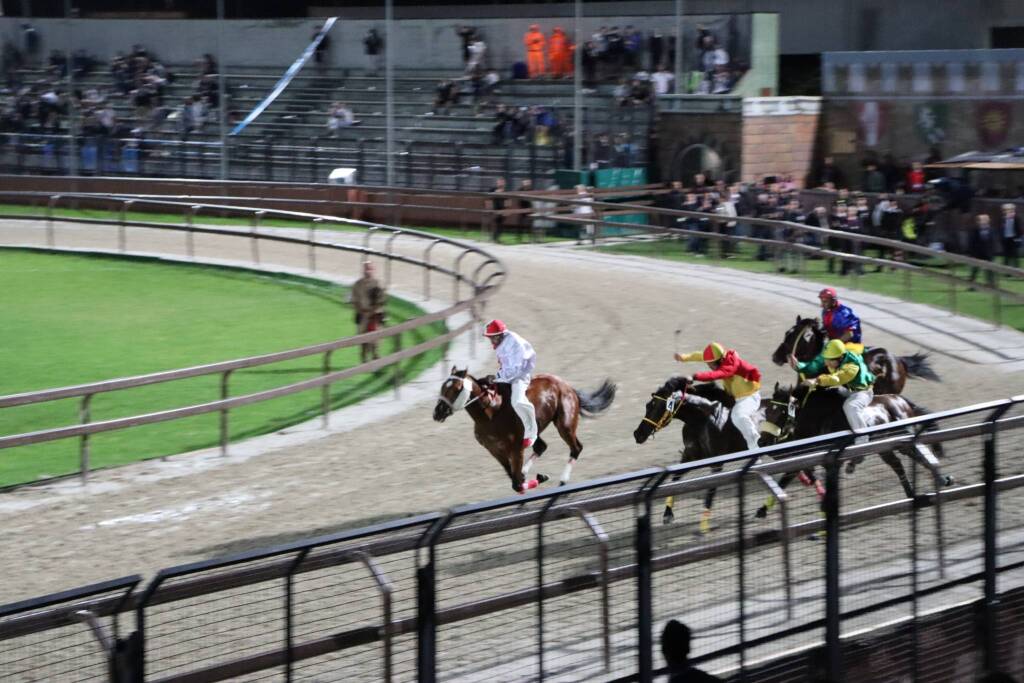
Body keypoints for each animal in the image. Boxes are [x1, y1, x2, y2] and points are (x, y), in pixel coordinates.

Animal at [432, 366, 614, 493]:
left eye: (456, 389)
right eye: (442, 387)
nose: (437, 412)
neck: (490, 414)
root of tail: (566, 385)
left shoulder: (515, 447)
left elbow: (517, 484)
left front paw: (540, 477)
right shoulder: (495, 450)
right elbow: (514, 477)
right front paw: (534, 476)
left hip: (565, 424)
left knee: (576, 448)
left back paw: (562, 480)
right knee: (541, 447)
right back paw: (528, 471)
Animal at [630, 376, 761, 532]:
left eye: (657, 406)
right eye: (647, 405)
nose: (638, 434)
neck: (703, 420)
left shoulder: (717, 462)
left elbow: (711, 489)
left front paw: (703, 526)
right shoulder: (691, 455)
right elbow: (675, 479)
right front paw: (667, 514)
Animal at [757, 378, 946, 518]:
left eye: (780, 412)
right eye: (767, 411)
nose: (762, 442)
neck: (818, 418)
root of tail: (899, 400)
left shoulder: (833, 457)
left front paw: (825, 506)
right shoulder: (806, 457)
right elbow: (786, 478)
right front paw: (762, 510)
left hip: (902, 440)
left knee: (917, 454)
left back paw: (942, 479)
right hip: (884, 448)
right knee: (897, 465)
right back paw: (912, 494)